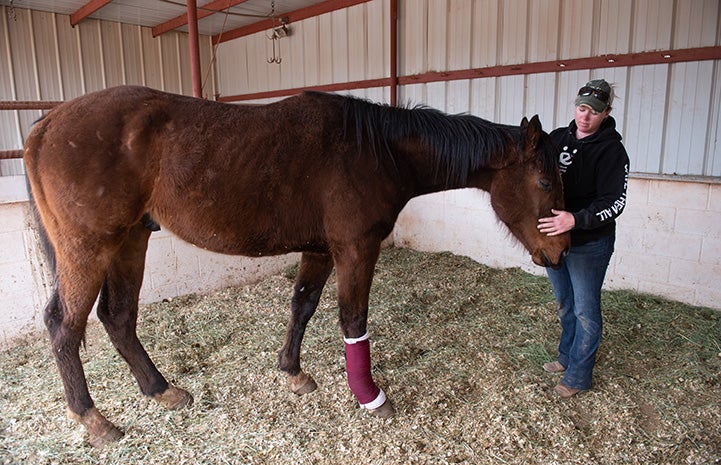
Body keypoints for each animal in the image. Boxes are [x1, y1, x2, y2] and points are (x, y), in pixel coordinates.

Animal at [23, 86, 568, 446]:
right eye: (544, 180)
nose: (560, 251)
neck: (376, 150)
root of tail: (45, 125)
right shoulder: (355, 248)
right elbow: (353, 320)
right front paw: (370, 397)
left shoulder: (321, 249)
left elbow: (302, 306)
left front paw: (293, 372)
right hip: (89, 246)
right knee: (64, 325)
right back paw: (95, 420)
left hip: (131, 239)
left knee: (118, 317)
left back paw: (162, 390)